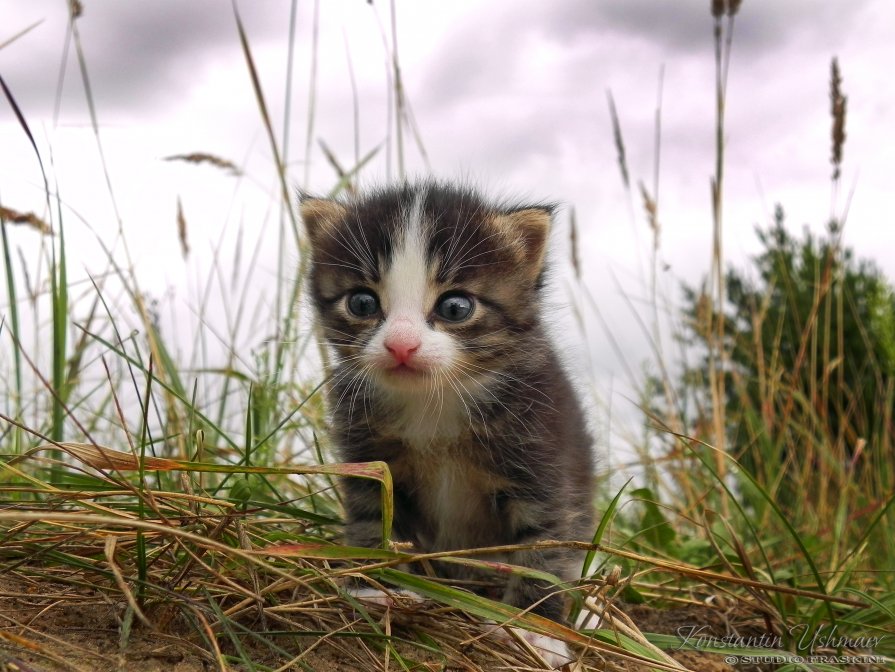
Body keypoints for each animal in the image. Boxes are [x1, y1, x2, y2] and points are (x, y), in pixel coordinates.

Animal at [302, 180, 596, 668]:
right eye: (361, 302)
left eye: (456, 307)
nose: (402, 345)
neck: (431, 404)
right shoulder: (370, 456)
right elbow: (372, 517)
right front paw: (375, 587)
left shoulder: (543, 455)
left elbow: (547, 545)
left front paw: (534, 630)